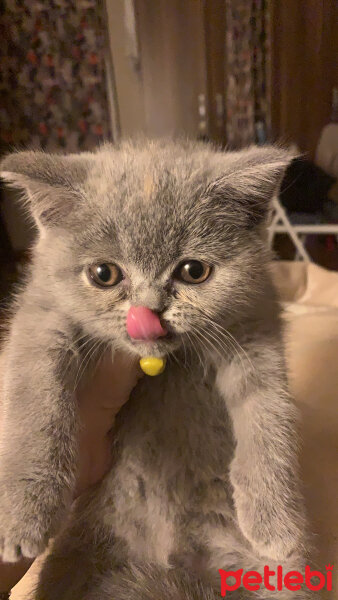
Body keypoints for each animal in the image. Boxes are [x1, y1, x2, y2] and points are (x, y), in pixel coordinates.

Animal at [0, 138, 308, 596]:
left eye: (194, 271)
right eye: (103, 274)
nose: (148, 312)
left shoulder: (255, 330)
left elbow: (269, 417)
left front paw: (275, 521)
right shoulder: (41, 315)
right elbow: (34, 399)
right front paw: (23, 514)